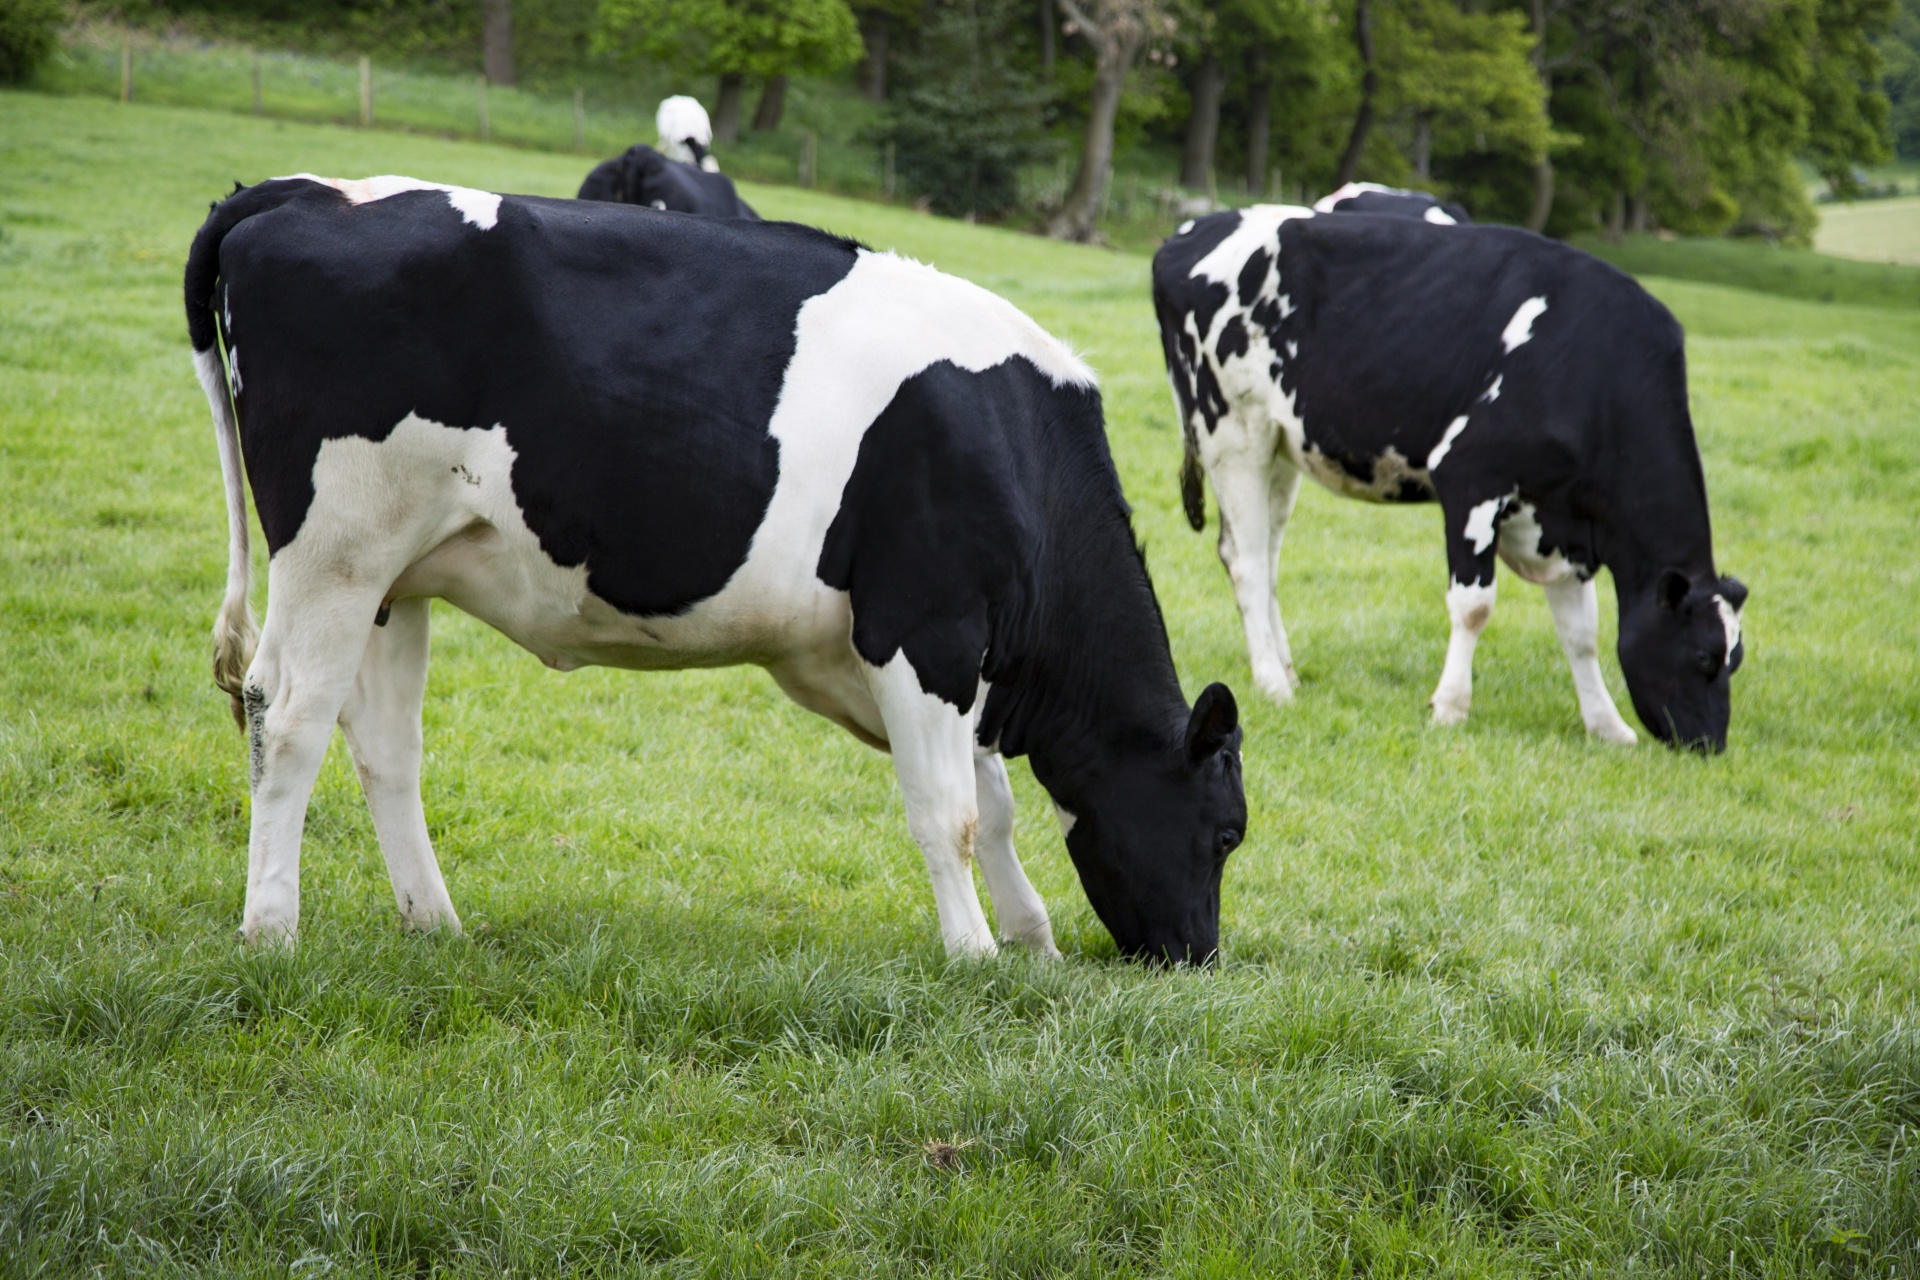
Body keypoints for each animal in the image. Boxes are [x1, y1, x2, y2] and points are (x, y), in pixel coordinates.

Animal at [187, 177, 1251, 959]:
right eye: (1228, 832)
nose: (1198, 957)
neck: (1018, 448)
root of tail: (311, 192)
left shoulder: (919, 655)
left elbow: (990, 804)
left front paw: (1030, 941)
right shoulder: (926, 627)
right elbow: (949, 810)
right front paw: (977, 953)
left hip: (392, 576)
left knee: (382, 743)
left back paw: (436, 924)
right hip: (336, 548)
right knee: (285, 715)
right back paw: (271, 930)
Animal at [1144, 204, 1751, 752]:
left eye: (1736, 659)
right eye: (1703, 656)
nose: (1711, 744)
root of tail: (1191, 229)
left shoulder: (1563, 522)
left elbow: (1582, 631)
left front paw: (1607, 726)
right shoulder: (1472, 475)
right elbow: (1474, 605)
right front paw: (1451, 707)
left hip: (1279, 444)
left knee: (1266, 557)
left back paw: (1285, 668)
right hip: (1232, 433)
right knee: (1245, 561)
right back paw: (1273, 683)